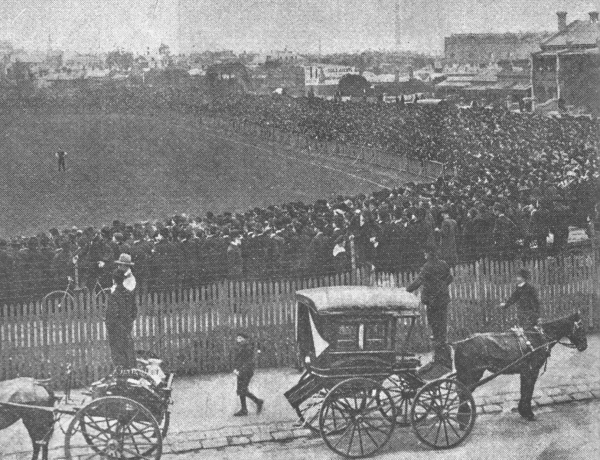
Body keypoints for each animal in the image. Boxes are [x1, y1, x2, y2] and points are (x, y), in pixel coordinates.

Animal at [454, 310, 584, 422]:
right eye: (580, 327)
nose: (585, 346)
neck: (538, 337)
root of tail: (462, 343)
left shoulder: (525, 371)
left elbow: (524, 391)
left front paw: (523, 411)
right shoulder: (532, 371)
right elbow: (528, 391)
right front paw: (529, 413)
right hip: (473, 375)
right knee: (463, 394)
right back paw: (463, 421)